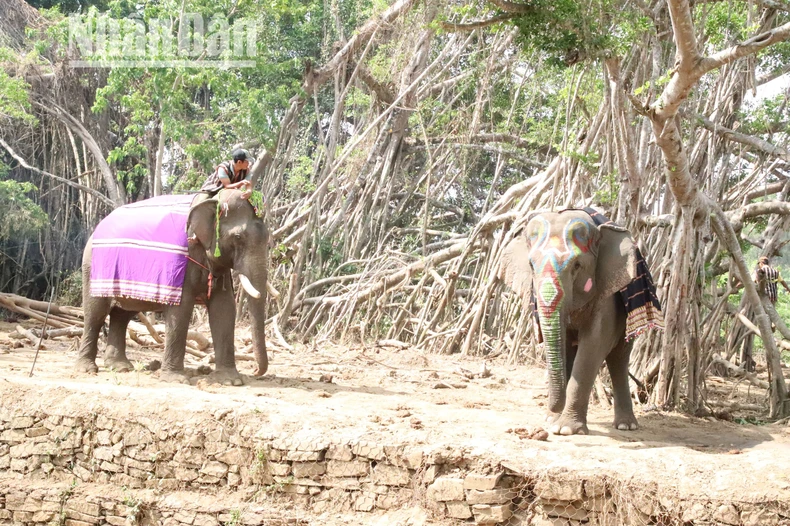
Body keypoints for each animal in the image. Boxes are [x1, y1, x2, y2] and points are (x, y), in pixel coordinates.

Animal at [76, 191, 270, 388]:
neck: (212, 200)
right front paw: (176, 379)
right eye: (238, 237)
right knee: (96, 314)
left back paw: (120, 367)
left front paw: (231, 381)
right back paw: (88, 369)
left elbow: (224, 309)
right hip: (92, 268)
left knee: (121, 314)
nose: (256, 371)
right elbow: (181, 310)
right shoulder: (181, 264)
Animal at [502, 209, 664, 438]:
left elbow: (593, 345)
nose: (552, 412)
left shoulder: (606, 293)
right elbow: (565, 348)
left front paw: (565, 429)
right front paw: (554, 421)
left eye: (577, 266)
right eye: (531, 265)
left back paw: (626, 426)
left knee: (618, 358)